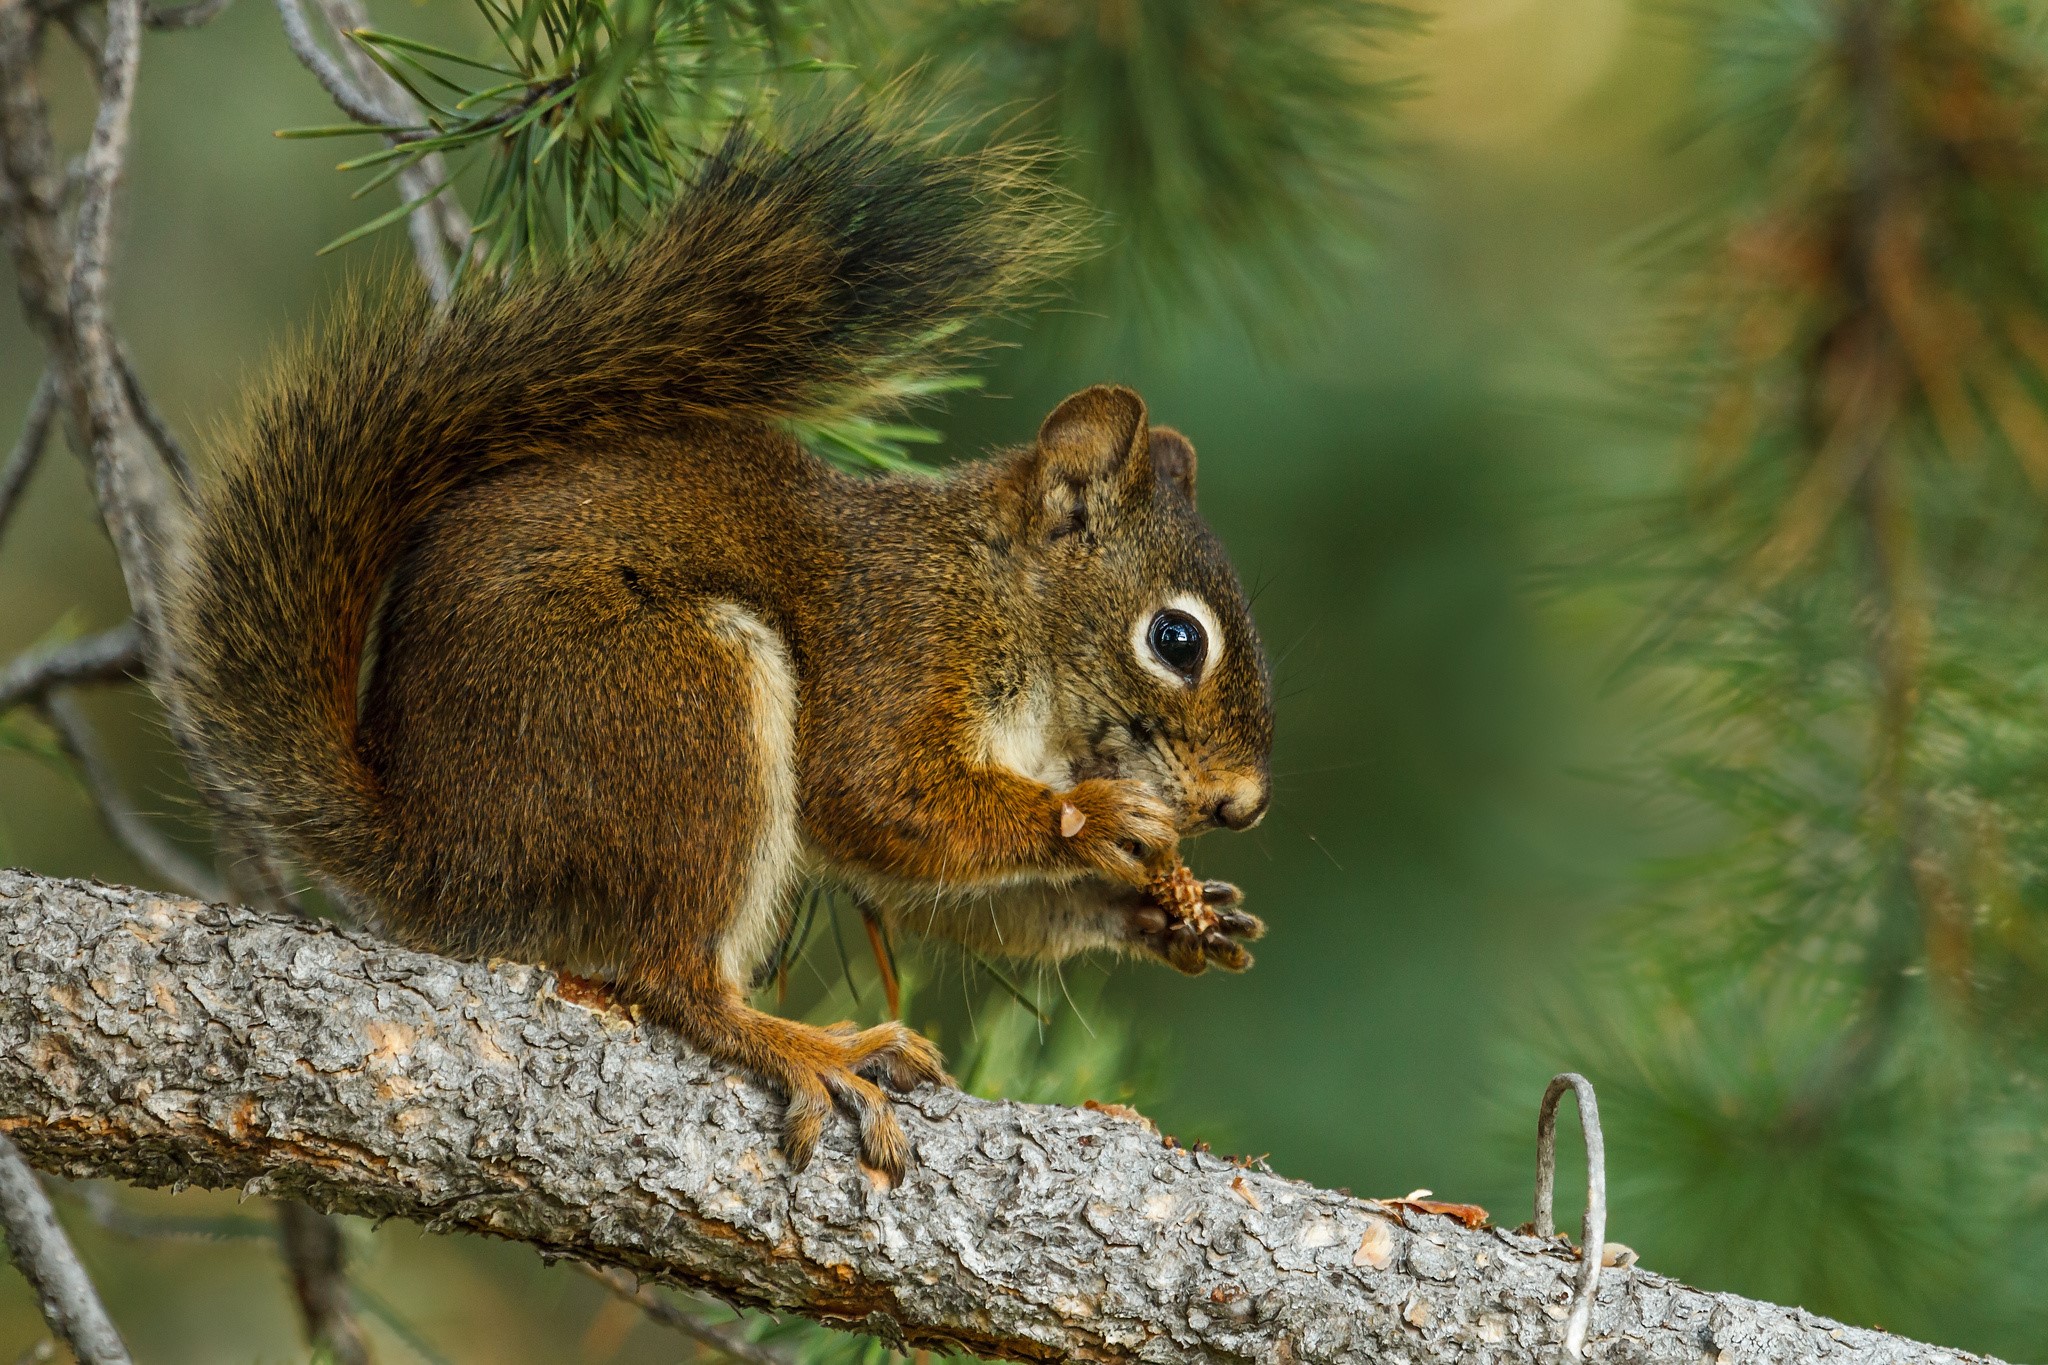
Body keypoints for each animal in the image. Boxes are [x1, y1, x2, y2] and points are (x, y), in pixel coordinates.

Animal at [161, 117, 1274, 1181]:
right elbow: (878, 796)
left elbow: (944, 890)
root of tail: (436, 847)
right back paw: (812, 1048)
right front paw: (1096, 818)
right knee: (672, 977)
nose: (1243, 806)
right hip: (677, 707)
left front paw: (1171, 912)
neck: (1006, 606)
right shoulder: (898, 646)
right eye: (1176, 638)